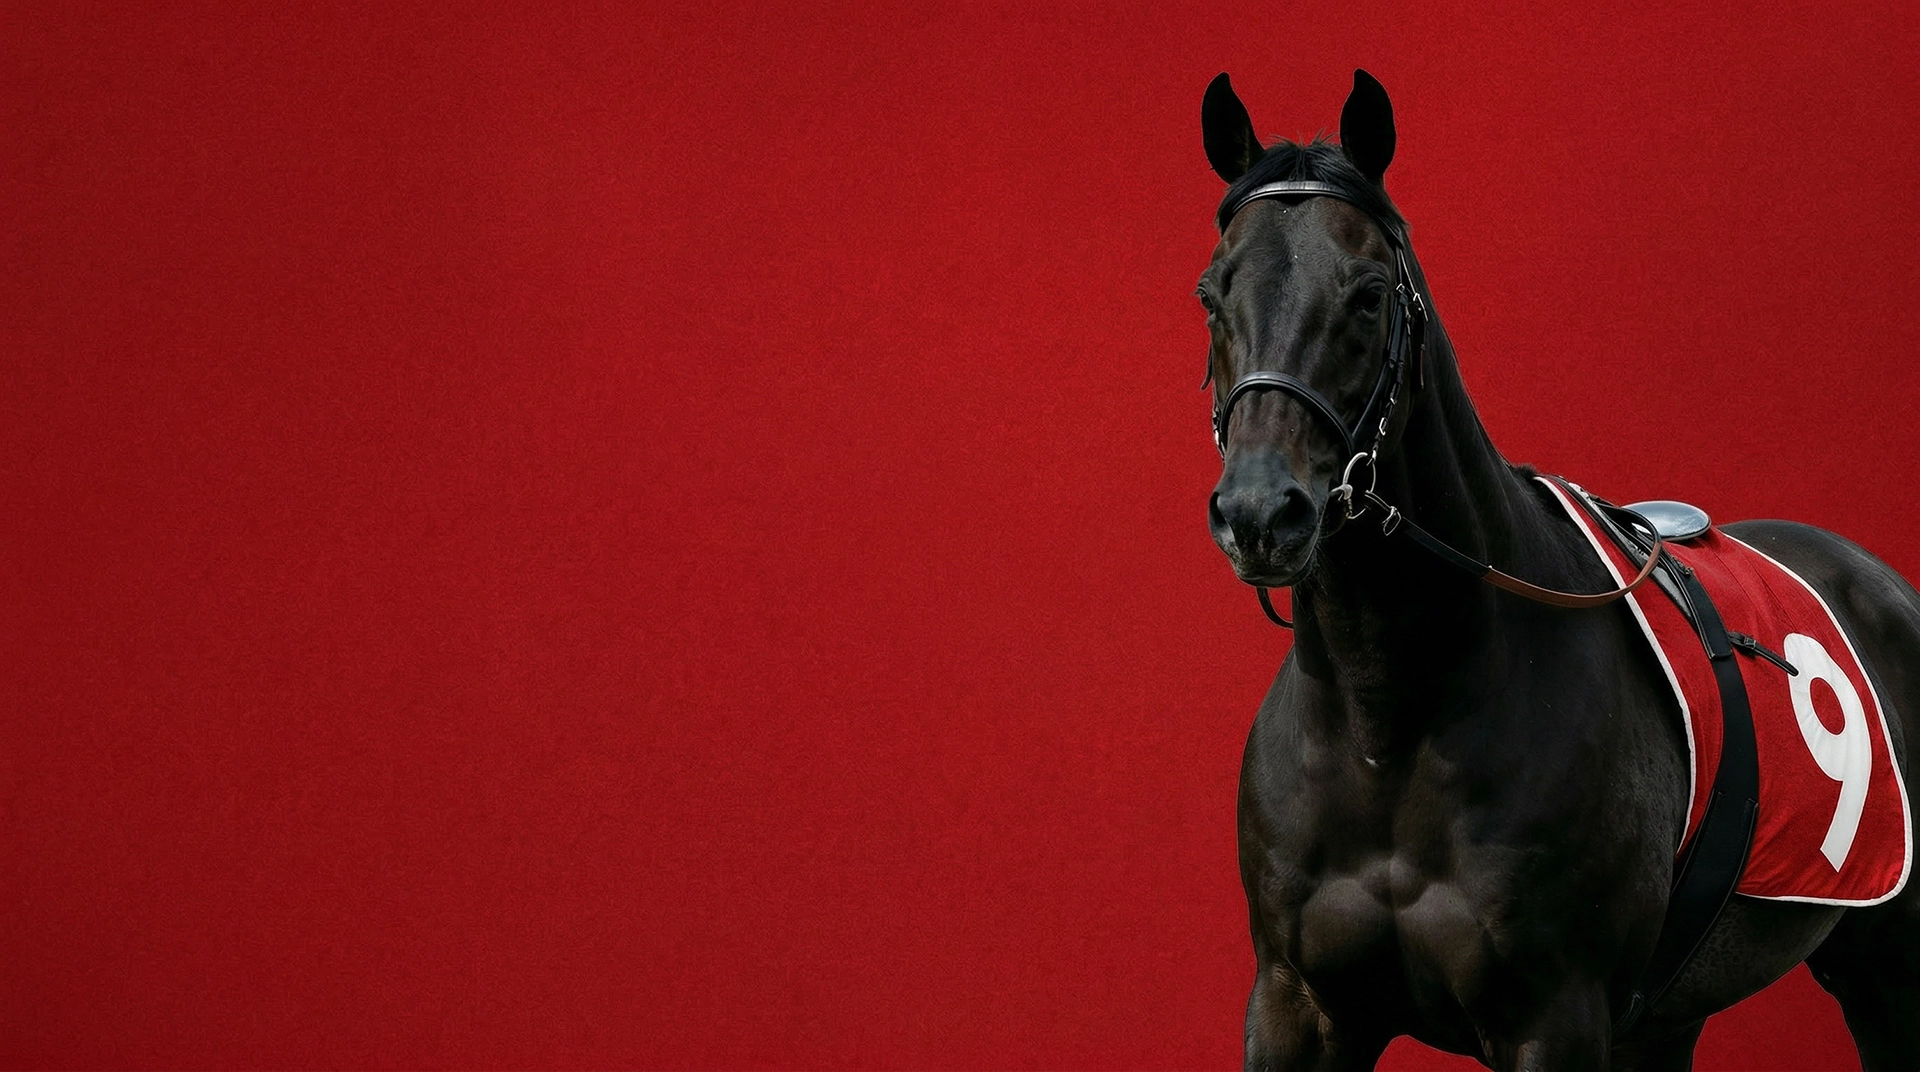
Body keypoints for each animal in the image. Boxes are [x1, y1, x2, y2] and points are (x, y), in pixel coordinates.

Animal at [1197, 70, 1920, 1071]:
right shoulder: (1297, 1006)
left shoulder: (1554, 1017)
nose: (1262, 514)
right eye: (1211, 294)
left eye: (1370, 294)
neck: (1392, 722)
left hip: (1891, 964)